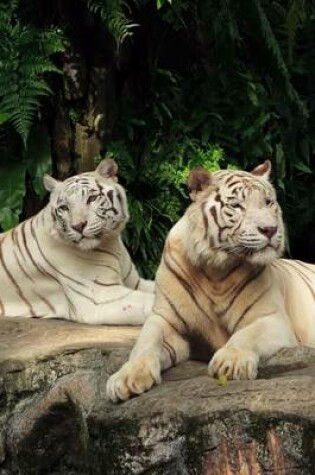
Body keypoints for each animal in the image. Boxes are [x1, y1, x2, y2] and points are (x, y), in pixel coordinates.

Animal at [0, 158, 156, 326]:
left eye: (92, 199)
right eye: (64, 208)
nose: (78, 226)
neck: (111, 241)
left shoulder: (135, 282)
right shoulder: (100, 297)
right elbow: (151, 302)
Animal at [107, 160, 315, 402]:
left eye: (268, 202)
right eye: (236, 205)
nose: (270, 230)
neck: (215, 269)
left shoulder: (271, 319)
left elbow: (247, 335)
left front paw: (231, 362)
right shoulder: (165, 319)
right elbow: (145, 343)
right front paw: (126, 378)